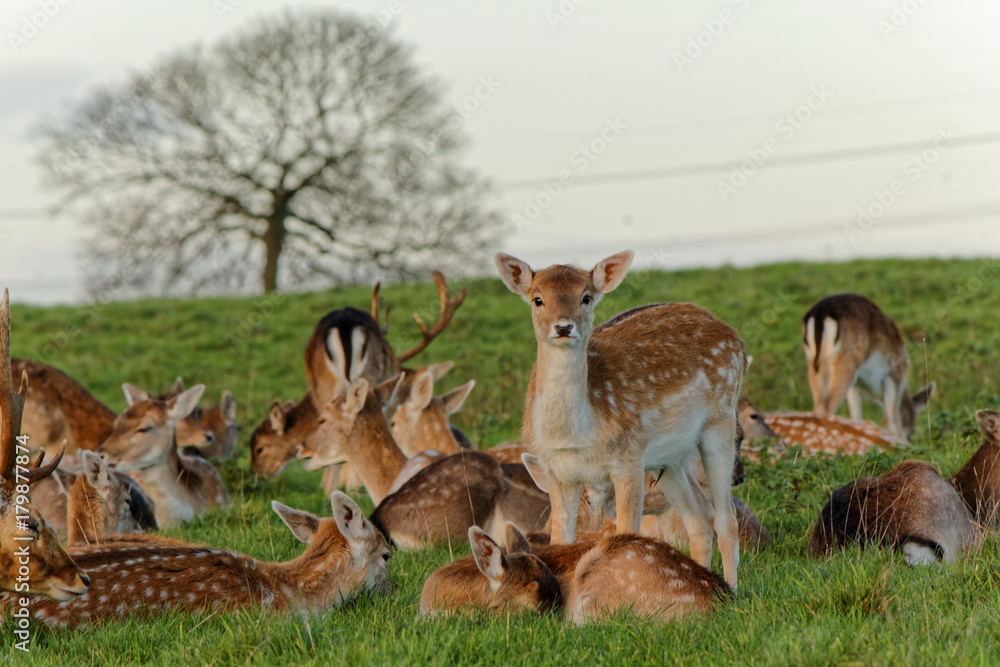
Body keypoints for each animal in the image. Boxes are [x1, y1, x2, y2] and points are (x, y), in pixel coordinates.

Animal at [496, 251, 746, 589]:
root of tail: (736, 339)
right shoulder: (557, 472)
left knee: (726, 517)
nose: (563, 326)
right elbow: (561, 539)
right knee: (700, 519)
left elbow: (629, 534)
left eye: (586, 297)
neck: (575, 434)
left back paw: (731, 589)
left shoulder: (628, 458)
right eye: (537, 299)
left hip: (720, 419)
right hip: (670, 457)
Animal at [803, 293, 935, 440]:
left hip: (814, 365)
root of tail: (820, 313)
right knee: (825, 406)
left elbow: (856, 419)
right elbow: (891, 421)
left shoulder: (854, 388)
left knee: (817, 405)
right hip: (847, 364)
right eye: (912, 430)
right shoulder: (894, 377)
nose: (909, 435)